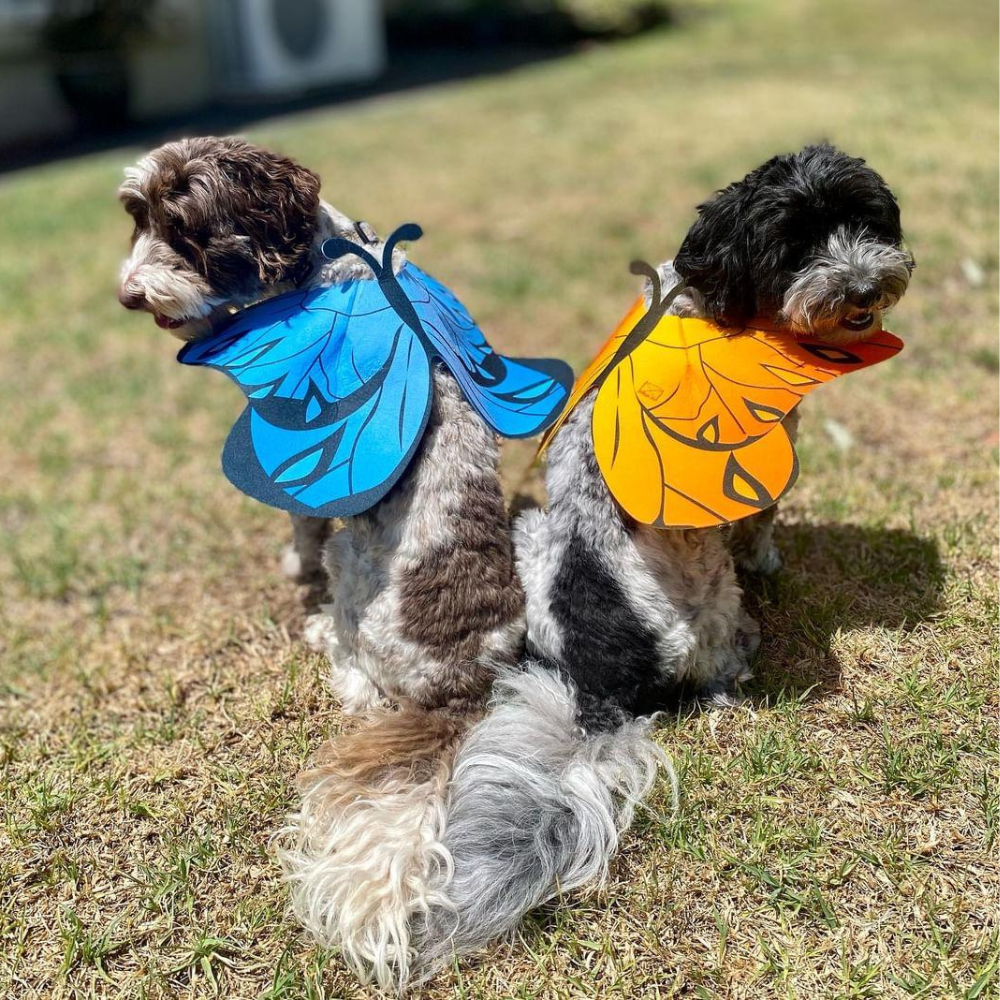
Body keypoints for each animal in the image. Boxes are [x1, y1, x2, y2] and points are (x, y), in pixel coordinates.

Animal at [115, 137, 524, 988]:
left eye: (188, 232)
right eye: (138, 218)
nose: (130, 295)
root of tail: (463, 690)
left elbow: (300, 526)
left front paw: (290, 578)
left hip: (356, 579)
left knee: (358, 680)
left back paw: (321, 638)